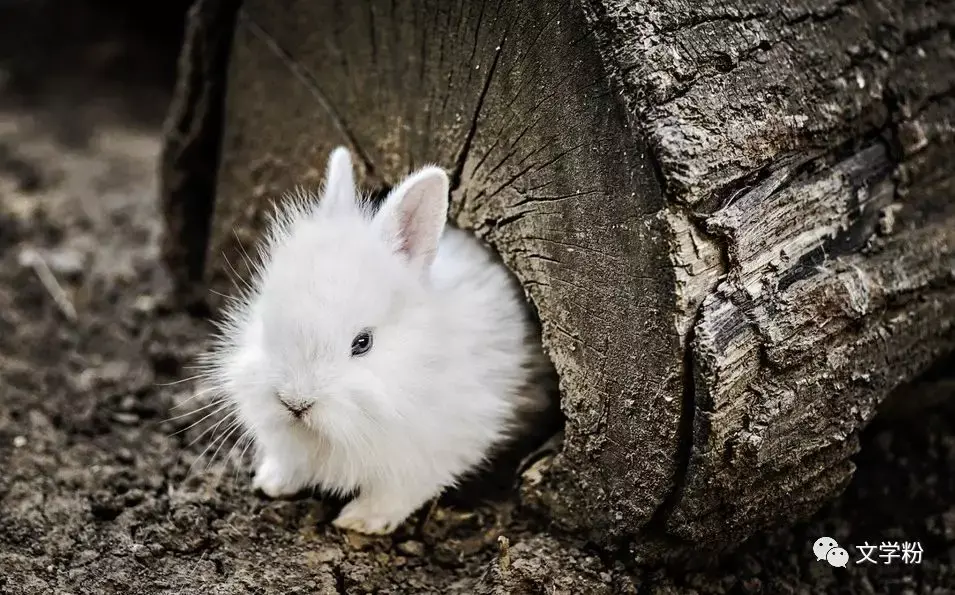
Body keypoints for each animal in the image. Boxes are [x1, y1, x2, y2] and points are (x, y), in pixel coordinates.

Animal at [200, 146, 552, 536]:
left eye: (362, 343)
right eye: (265, 321)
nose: (294, 403)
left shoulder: (433, 451)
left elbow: (395, 493)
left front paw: (359, 521)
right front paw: (272, 483)